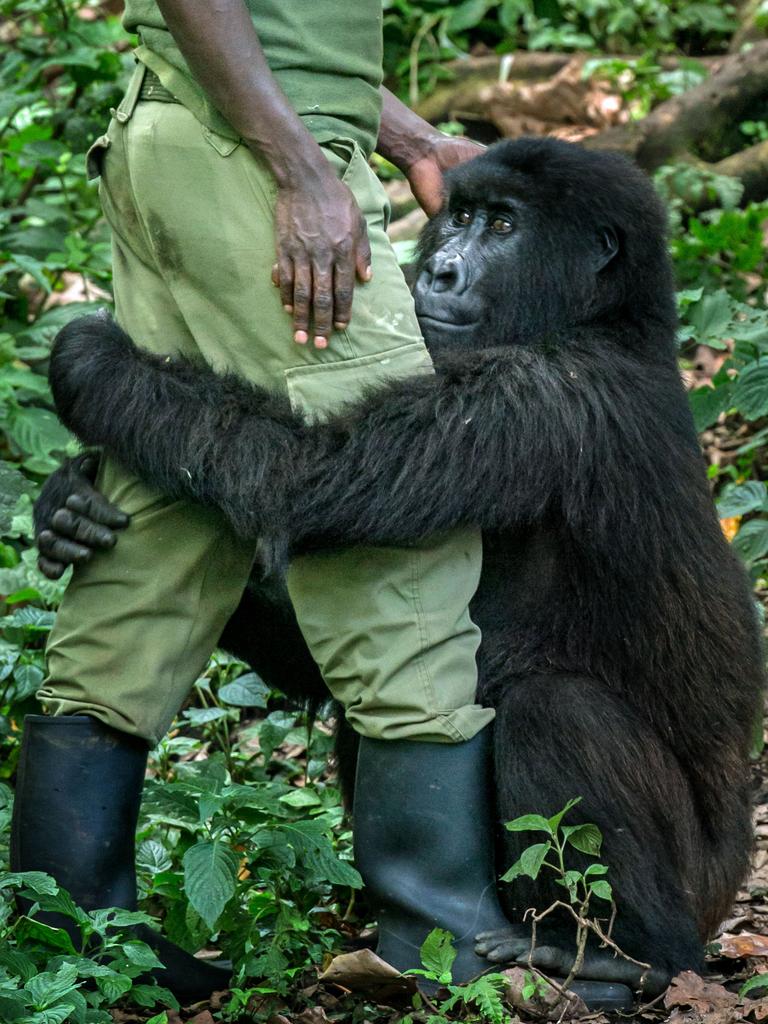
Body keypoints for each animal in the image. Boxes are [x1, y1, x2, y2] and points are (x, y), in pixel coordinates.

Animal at [34, 136, 765, 999]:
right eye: (460, 215)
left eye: (503, 226)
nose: (440, 269)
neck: (605, 320)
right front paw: (63, 510)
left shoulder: (541, 395)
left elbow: (301, 481)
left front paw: (97, 366)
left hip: (700, 896)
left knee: (555, 709)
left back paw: (621, 956)